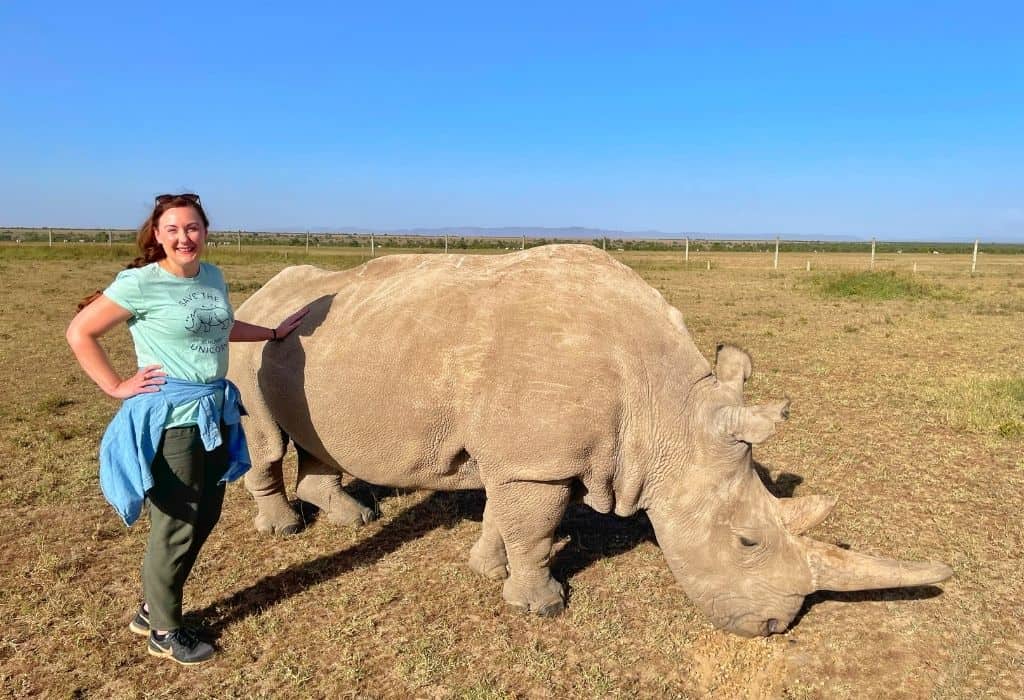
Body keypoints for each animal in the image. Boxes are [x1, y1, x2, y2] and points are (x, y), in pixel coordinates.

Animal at [230, 243, 950, 638]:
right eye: (747, 542)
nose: (773, 627)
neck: (669, 413)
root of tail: (266, 290)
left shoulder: (523, 456)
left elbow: (502, 516)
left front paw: (486, 568)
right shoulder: (537, 461)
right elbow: (534, 528)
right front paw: (542, 606)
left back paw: (353, 516)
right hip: (248, 337)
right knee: (262, 435)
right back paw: (285, 529)